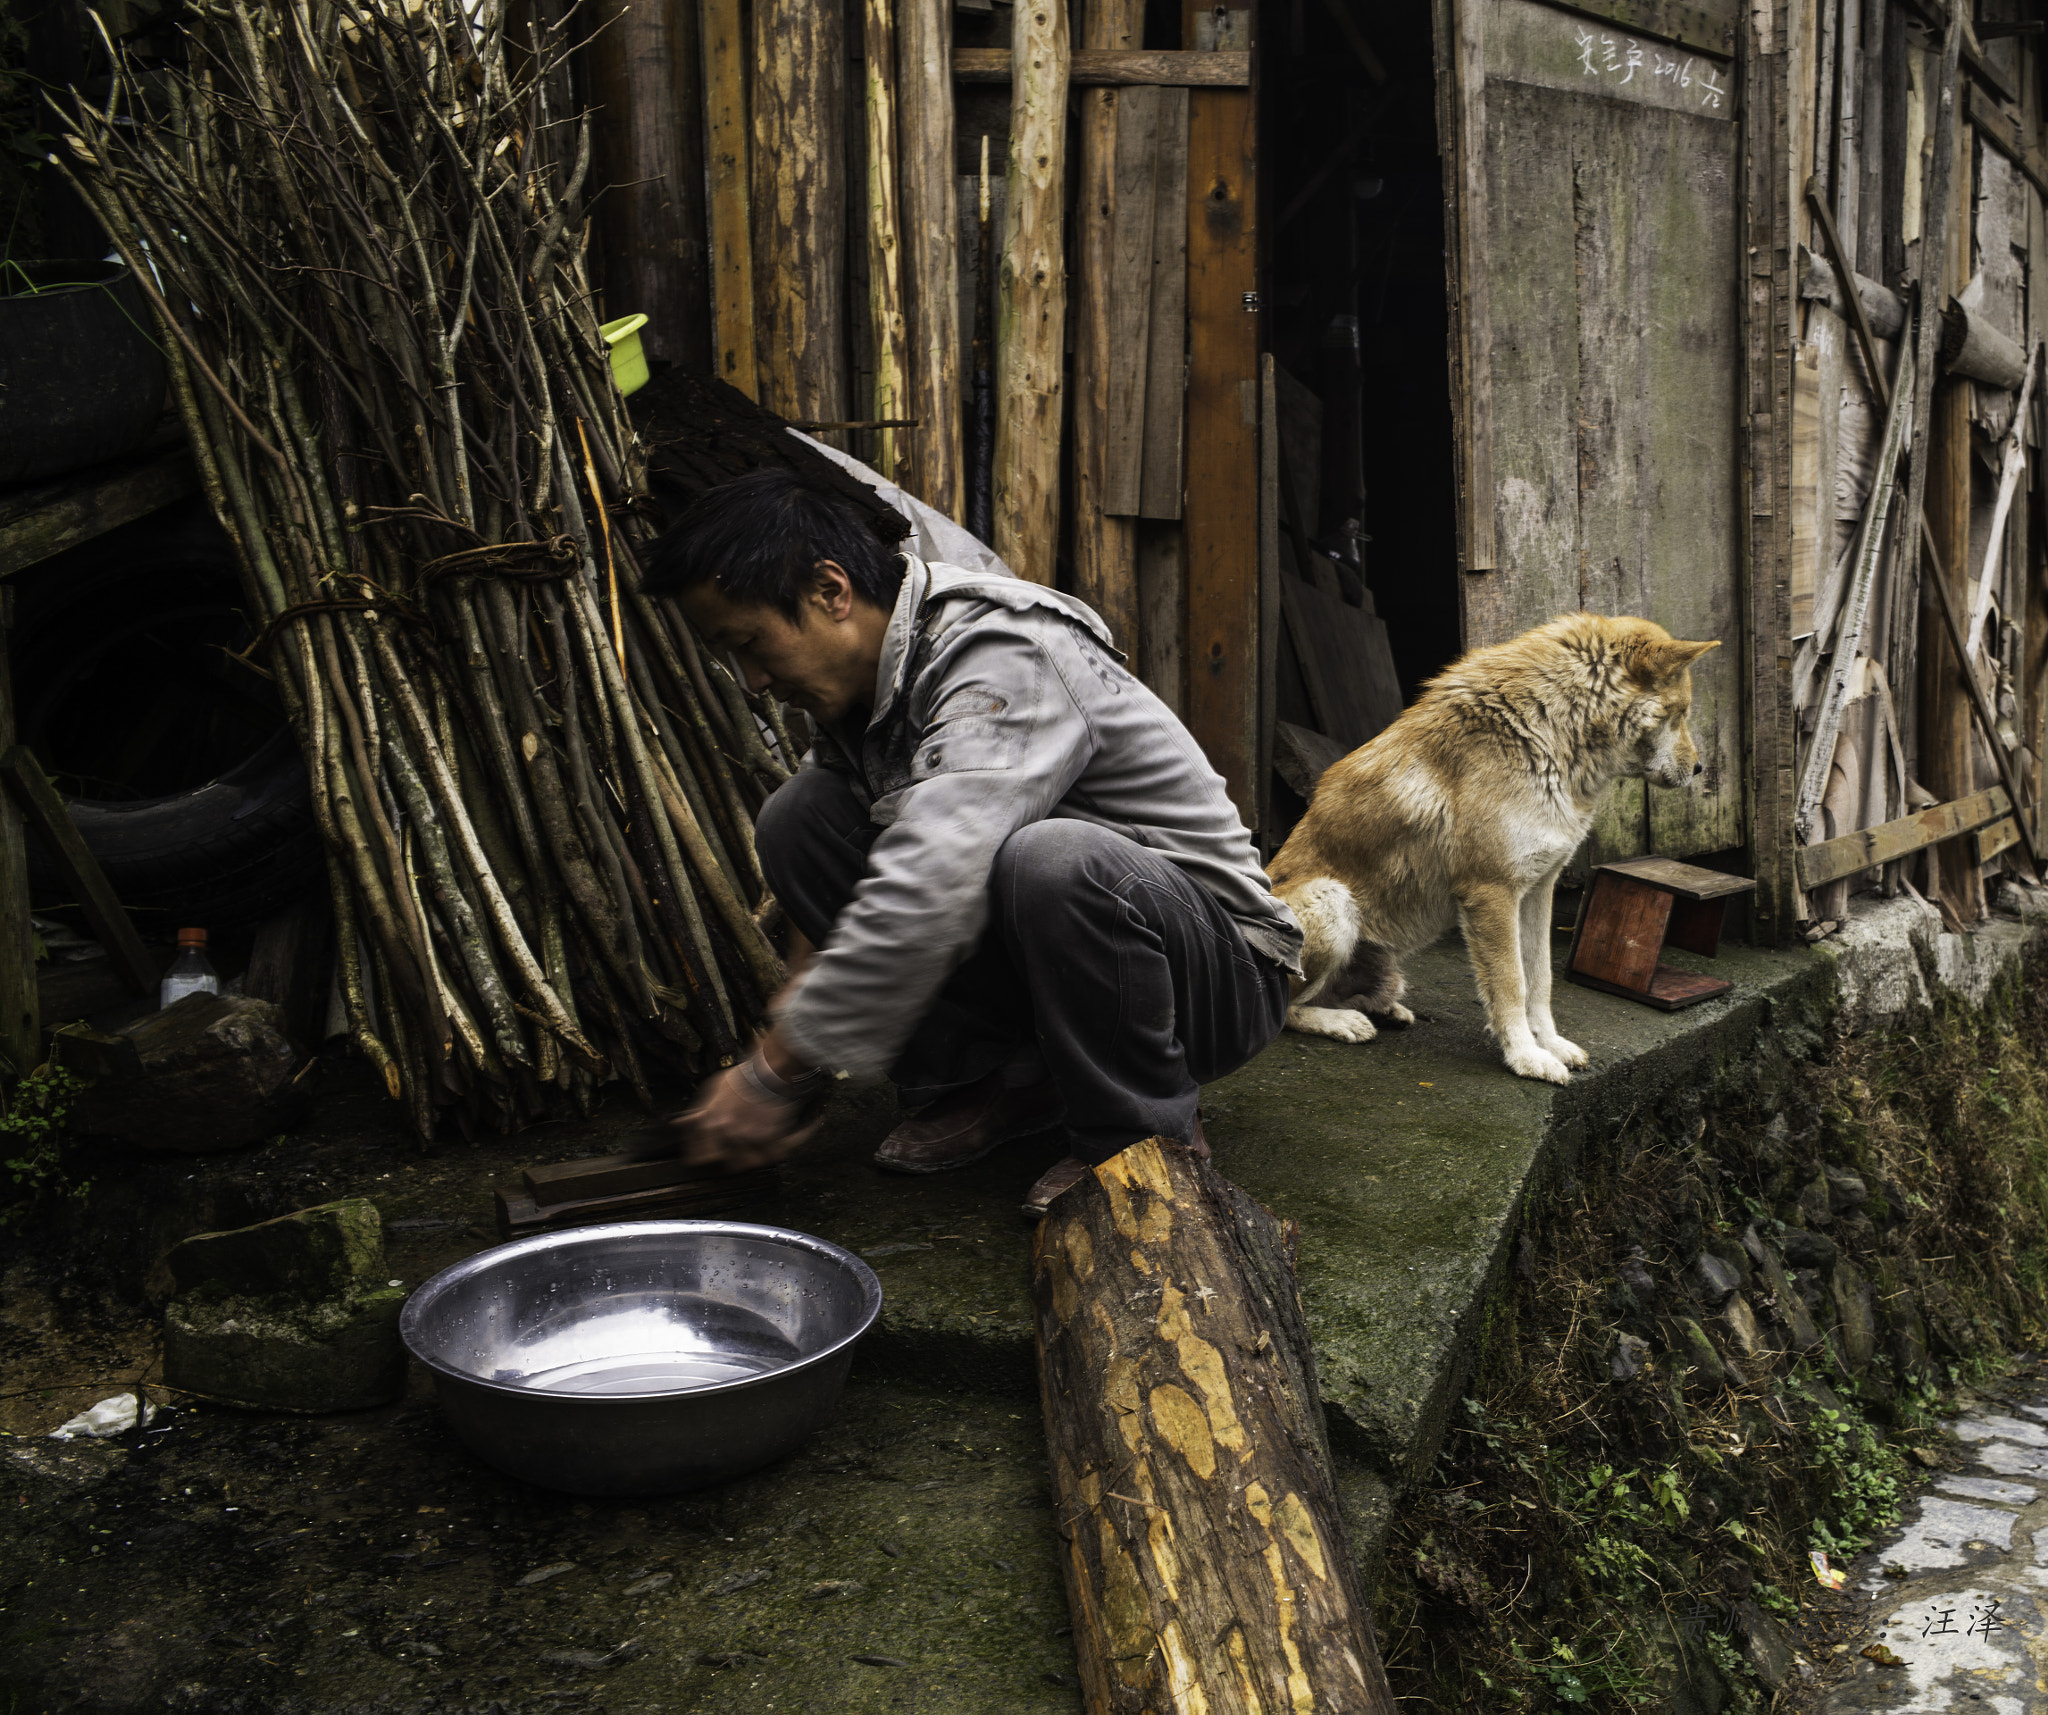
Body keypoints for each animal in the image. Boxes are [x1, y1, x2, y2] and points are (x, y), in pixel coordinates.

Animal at [1269, 610, 1720, 1073]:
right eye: (1680, 713)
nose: (1700, 769)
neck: (1544, 733)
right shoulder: (1492, 892)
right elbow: (1510, 984)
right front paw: (1526, 1058)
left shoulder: (1539, 889)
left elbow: (1540, 980)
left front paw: (1551, 1045)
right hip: (1332, 899)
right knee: (1287, 1013)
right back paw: (1342, 1023)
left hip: (1385, 964)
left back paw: (1383, 1011)